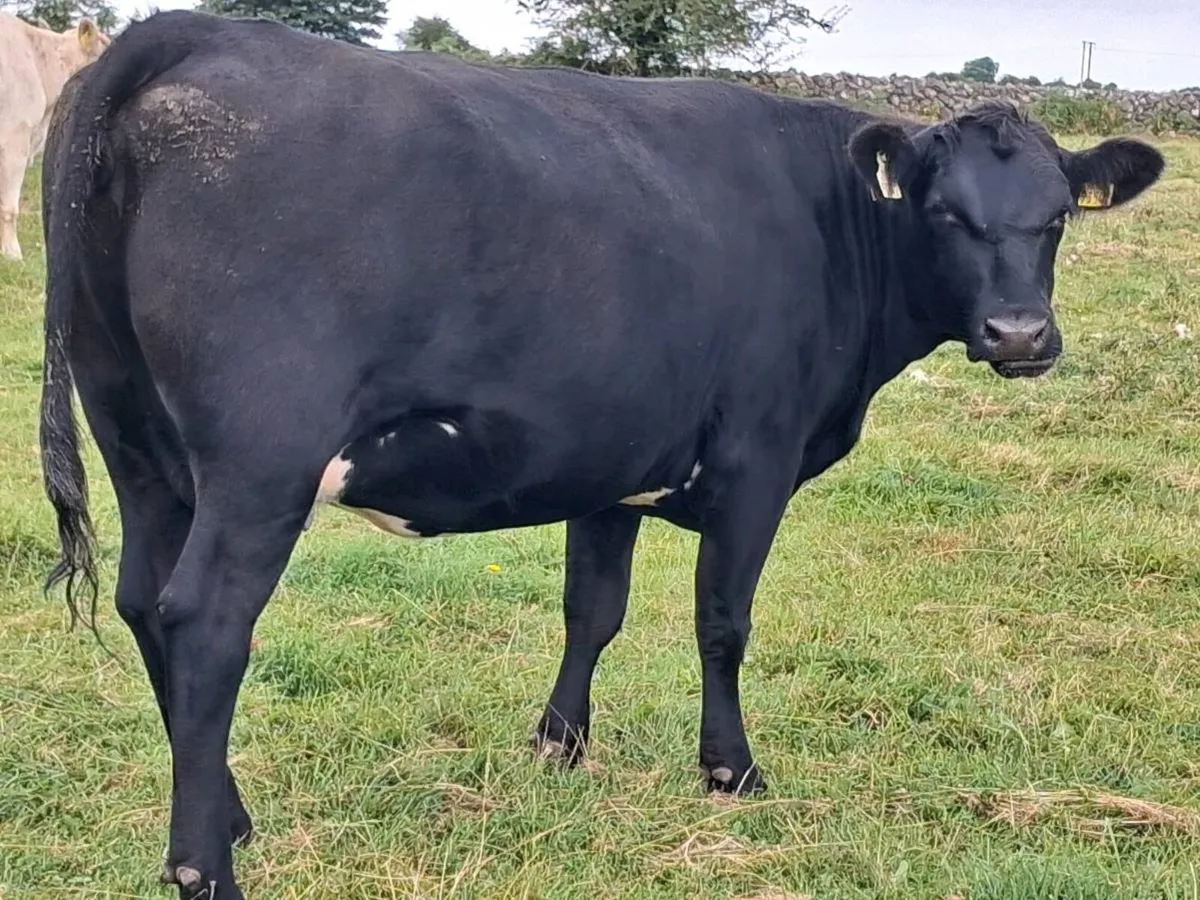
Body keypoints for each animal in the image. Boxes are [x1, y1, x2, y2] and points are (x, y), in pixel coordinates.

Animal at [38, 10, 1164, 898]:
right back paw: (205, 865)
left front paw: (560, 746)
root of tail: (187, 32)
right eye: (943, 213)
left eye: (1055, 220)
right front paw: (732, 773)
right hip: (260, 462)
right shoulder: (756, 460)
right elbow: (722, 624)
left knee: (141, 600)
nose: (1019, 335)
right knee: (205, 621)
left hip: (138, 442)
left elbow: (594, 611)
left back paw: (230, 815)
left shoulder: (611, 463)